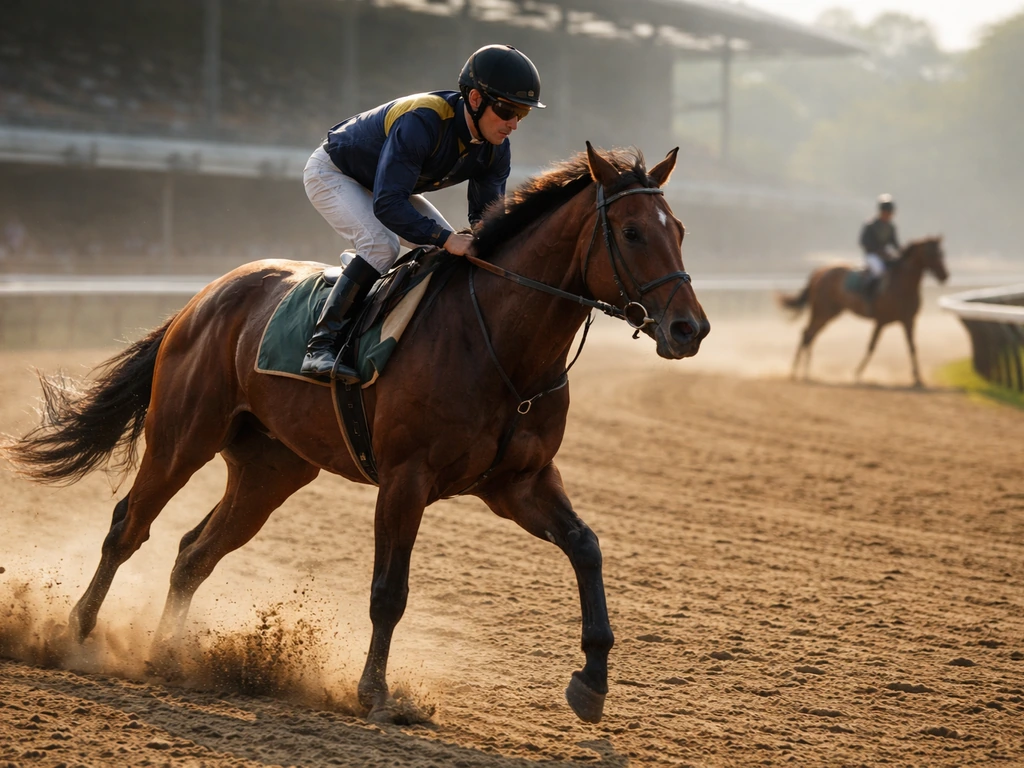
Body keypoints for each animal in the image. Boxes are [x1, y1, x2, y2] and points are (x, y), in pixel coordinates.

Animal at [3, 143, 709, 725]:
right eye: (632, 231)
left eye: (679, 230)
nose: (690, 329)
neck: (500, 345)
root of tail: (203, 297)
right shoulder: (405, 478)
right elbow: (389, 591)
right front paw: (375, 693)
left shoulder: (519, 482)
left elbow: (586, 547)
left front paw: (593, 681)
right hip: (182, 436)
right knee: (130, 525)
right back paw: (77, 633)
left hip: (272, 469)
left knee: (194, 552)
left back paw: (168, 654)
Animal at [780, 237, 948, 386]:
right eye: (931, 253)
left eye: (941, 252)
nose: (945, 275)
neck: (902, 285)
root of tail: (819, 272)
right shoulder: (881, 321)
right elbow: (871, 346)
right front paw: (857, 374)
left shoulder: (908, 321)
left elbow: (912, 347)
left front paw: (918, 378)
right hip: (823, 312)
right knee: (807, 334)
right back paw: (797, 372)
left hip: (830, 313)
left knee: (810, 335)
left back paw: (803, 372)